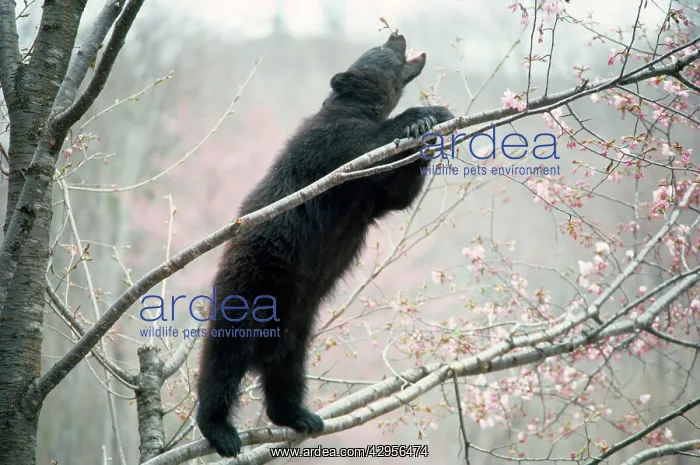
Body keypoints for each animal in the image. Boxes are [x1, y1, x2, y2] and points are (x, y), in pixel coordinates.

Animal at [196, 32, 455, 458]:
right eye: (380, 50)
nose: (396, 33)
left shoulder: (369, 195)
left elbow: (396, 195)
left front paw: (427, 134)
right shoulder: (326, 145)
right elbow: (358, 144)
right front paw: (429, 112)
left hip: (298, 323)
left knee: (288, 368)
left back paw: (300, 415)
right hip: (253, 283)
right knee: (225, 356)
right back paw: (220, 429)